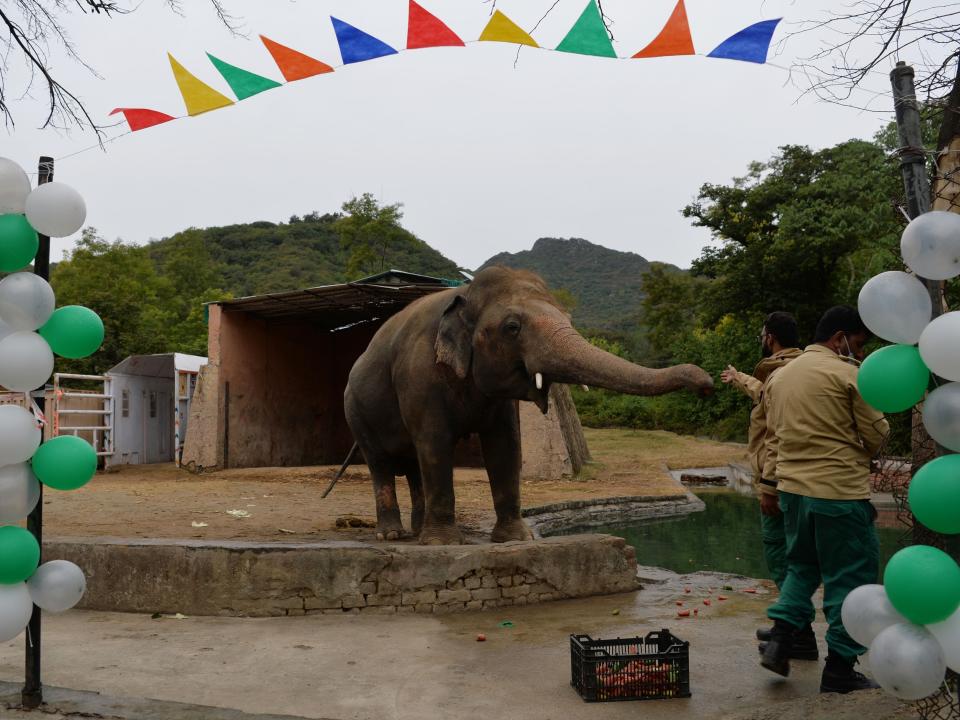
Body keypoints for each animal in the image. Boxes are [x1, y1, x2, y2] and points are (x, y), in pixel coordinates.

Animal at [344, 266, 712, 544]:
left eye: (568, 317)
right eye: (512, 327)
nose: (706, 383)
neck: (465, 293)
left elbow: (506, 445)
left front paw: (515, 539)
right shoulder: (419, 377)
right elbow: (435, 444)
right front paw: (443, 544)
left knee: (412, 466)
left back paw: (417, 531)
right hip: (355, 412)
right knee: (382, 463)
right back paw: (393, 535)